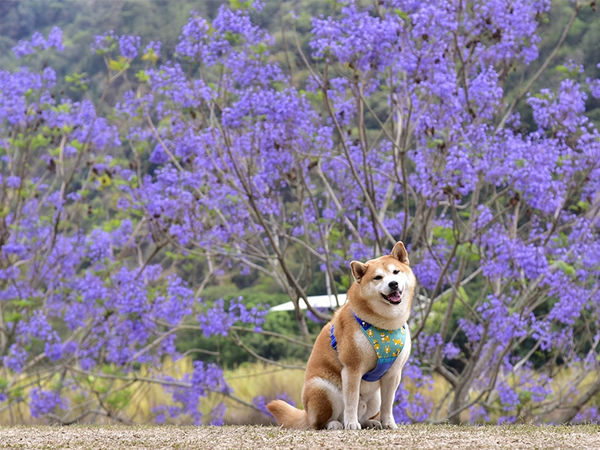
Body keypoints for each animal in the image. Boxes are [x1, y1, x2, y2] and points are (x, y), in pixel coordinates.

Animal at [268, 243, 418, 428]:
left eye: (396, 272)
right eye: (378, 277)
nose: (393, 284)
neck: (385, 325)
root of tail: (306, 414)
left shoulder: (393, 373)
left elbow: (388, 404)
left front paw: (389, 423)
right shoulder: (352, 368)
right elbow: (351, 400)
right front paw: (352, 424)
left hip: (374, 398)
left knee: (367, 412)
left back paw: (371, 422)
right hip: (323, 388)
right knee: (319, 423)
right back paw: (335, 424)